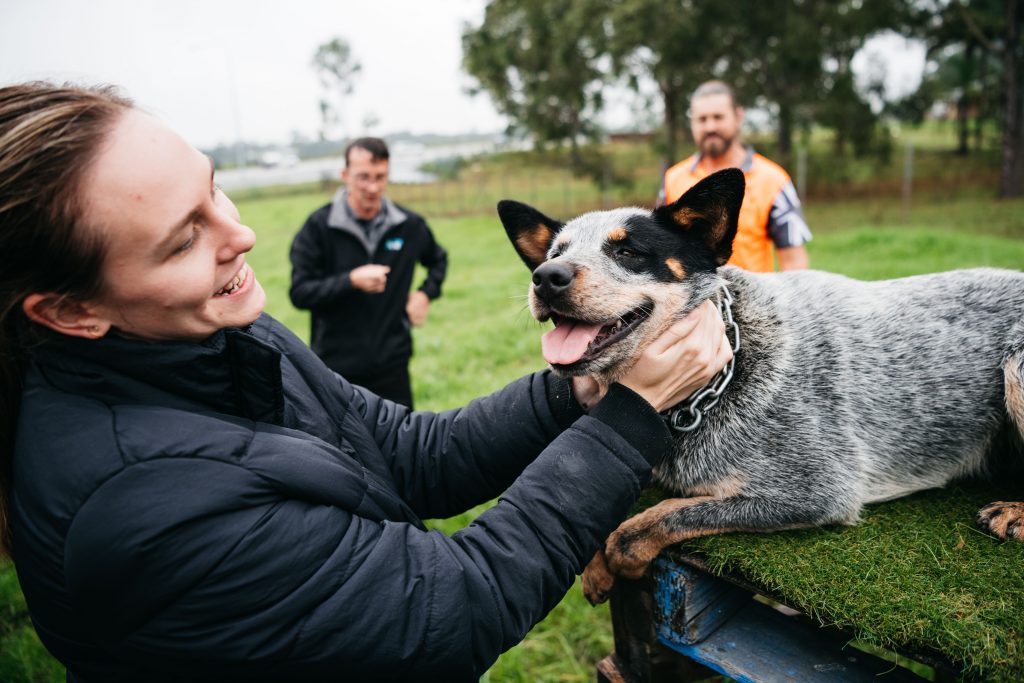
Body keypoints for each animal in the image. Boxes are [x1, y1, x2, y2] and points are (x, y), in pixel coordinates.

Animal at [495, 169, 1024, 602]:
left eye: (627, 251)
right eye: (556, 253)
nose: (545, 276)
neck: (726, 365)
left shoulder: (815, 490)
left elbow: (662, 515)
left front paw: (618, 551)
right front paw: (593, 564)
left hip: (1016, 366)